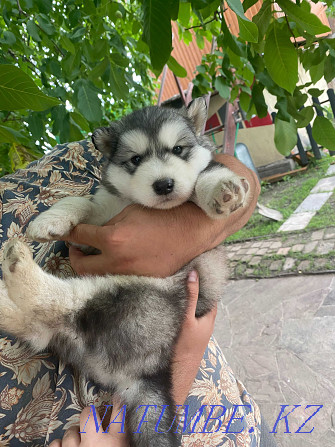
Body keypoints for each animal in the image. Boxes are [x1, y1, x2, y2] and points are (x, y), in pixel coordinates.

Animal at [0, 99, 249, 447]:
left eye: (178, 149)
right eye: (135, 160)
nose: (164, 184)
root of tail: (150, 373)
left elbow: (206, 175)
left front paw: (222, 189)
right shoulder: (99, 222)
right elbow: (82, 202)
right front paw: (51, 220)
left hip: (132, 297)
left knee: (56, 305)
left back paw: (17, 262)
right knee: (41, 321)